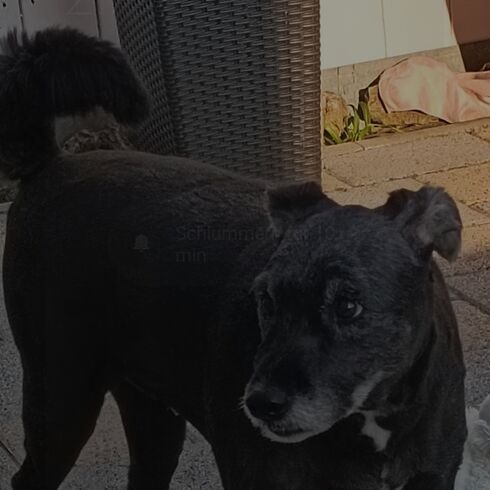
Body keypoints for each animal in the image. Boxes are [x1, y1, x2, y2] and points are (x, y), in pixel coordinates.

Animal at [0, 28, 467, 489]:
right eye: (266, 301)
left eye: (349, 305)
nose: (261, 404)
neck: (375, 419)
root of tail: (49, 167)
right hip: (61, 399)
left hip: (150, 413)